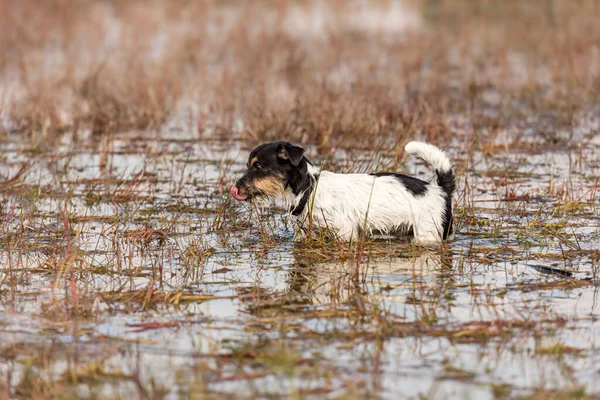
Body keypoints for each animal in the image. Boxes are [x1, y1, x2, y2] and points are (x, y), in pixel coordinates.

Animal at [230, 142, 454, 245]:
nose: (235, 189)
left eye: (258, 166)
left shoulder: (345, 233)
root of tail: (440, 189)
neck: (309, 188)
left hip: (427, 233)